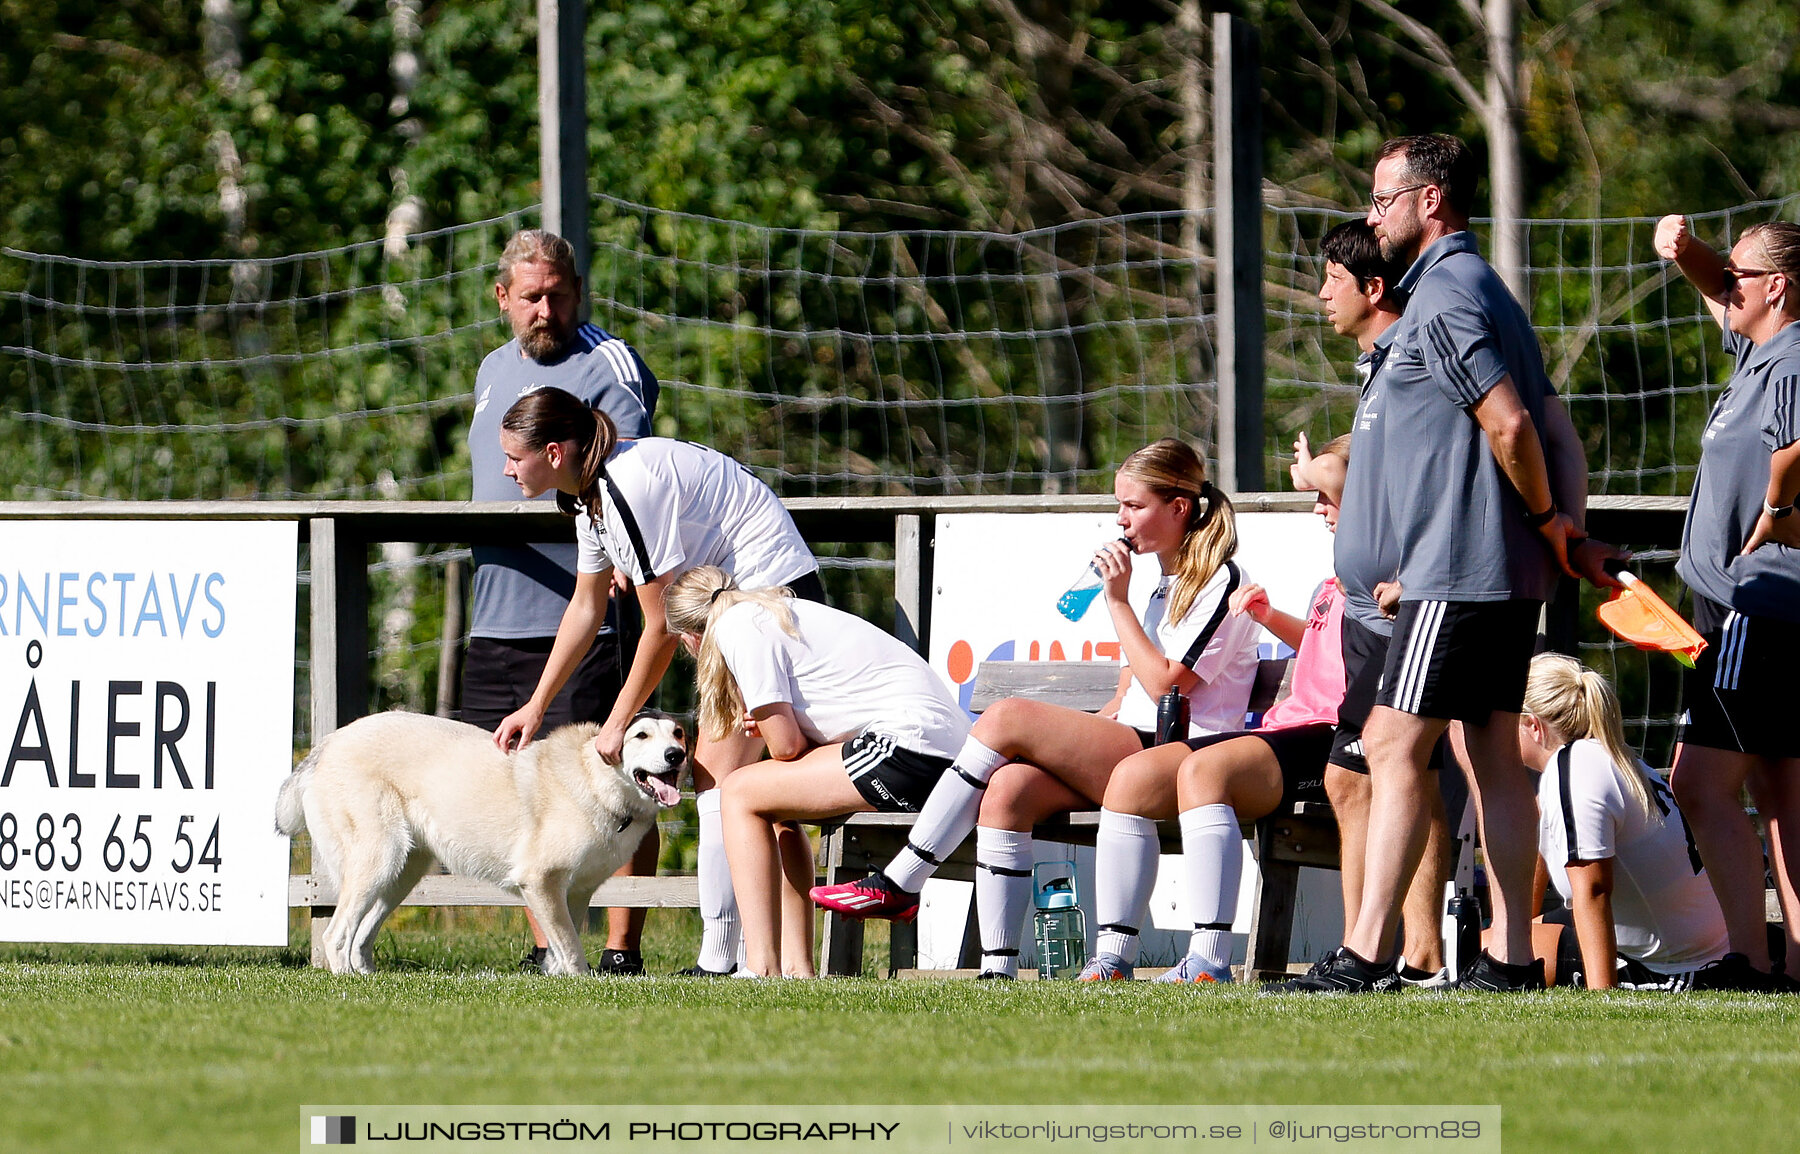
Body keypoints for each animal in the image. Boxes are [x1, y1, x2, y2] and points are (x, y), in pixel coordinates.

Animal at [275, 712, 687, 972]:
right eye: (640, 735)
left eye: (678, 733)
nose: (677, 755)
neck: (596, 779)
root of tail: (325, 746)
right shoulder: (541, 883)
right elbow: (571, 952)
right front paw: (579, 987)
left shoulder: (576, 893)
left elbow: (560, 948)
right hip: (379, 861)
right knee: (336, 936)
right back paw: (348, 985)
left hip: (401, 874)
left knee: (360, 937)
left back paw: (369, 979)